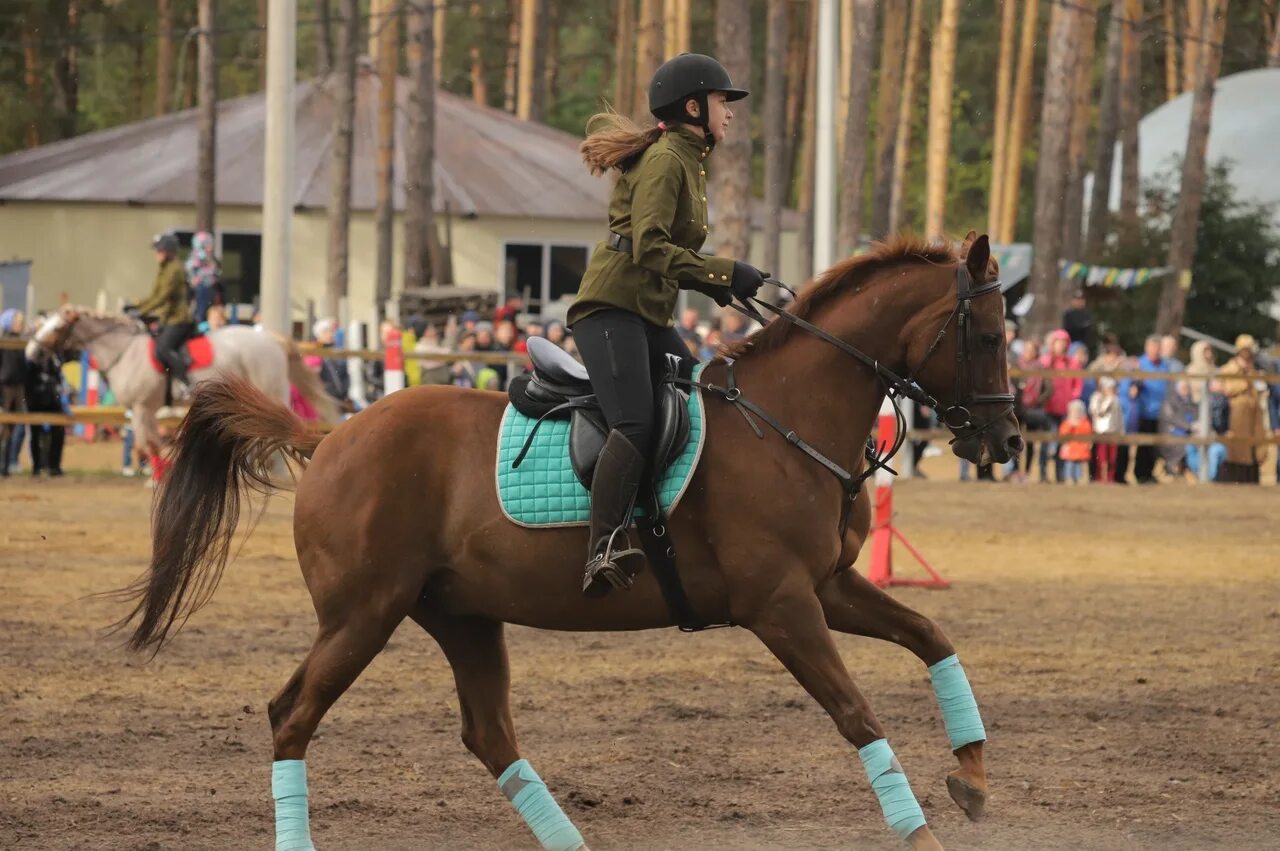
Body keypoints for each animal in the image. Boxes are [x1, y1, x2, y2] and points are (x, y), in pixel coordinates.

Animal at [117, 234, 1018, 849]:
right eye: (988, 337)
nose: (1005, 442)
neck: (787, 421)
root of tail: (330, 435)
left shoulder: (827, 586)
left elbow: (932, 635)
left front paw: (972, 777)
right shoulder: (782, 604)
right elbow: (855, 710)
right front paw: (919, 828)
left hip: (461, 616)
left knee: (488, 734)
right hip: (362, 616)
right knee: (293, 713)